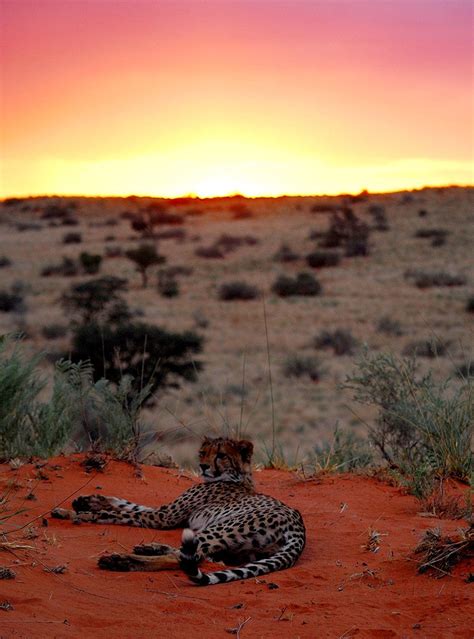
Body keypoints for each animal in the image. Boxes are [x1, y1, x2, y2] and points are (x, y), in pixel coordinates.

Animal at [56, 440, 308, 584]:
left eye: (221, 455)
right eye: (203, 452)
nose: (203, 466)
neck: (236, 477)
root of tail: (299, 526)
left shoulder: (163, 517)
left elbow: (120, 514)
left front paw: (76, 514)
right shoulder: (166, 513)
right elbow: (128, 504)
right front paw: (86, 501)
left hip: (222, 527)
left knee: (183, 557)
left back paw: (120, 561)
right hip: (238, 548)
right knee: (196, 554)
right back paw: (149, 547)